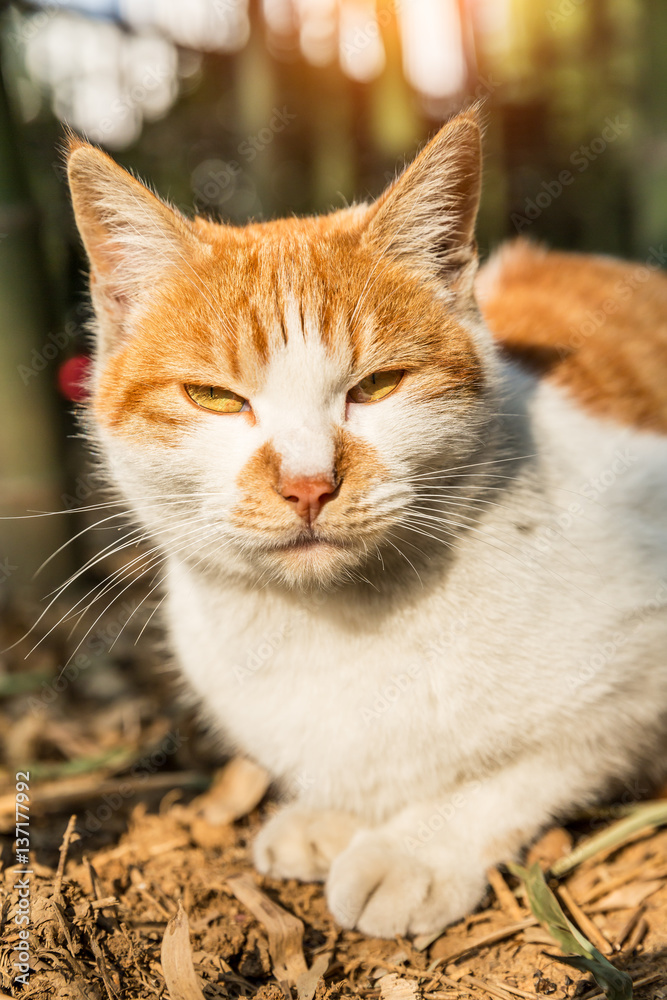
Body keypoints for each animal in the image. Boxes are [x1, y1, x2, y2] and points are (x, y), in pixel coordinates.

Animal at [64, 109, 667, 936]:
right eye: (214, 398)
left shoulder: (631, 692)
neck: (339, 629)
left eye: (378, 385)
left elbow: (523, 769)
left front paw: (411, 848)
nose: (308, 484)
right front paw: (331, 814)